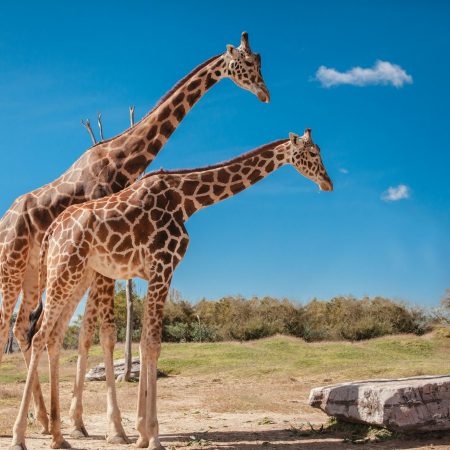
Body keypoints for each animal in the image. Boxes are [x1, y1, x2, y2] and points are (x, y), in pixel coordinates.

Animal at [0, 31, 268, 442]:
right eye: (248, 64)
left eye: (260, 62)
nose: (264, 93)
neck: (120, 157)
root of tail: (5, 219)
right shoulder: (104, 258)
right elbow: (107, 334)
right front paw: (117, 429)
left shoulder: (100, 262)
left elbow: (87, 333)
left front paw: (80, 423)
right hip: (12, 265)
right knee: (7, 328)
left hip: (35, 274)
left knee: (23, 329)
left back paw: (43, 421)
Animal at [11, 128, 334, 448]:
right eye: (313, 153)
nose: (328, 183)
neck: (186, 200)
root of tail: (52, 230)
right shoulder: (163, 266)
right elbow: (152, 345)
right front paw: (152, 436)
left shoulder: (152, 272)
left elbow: (145, 343)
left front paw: (142, 434)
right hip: (64, 272)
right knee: (38, 336)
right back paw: (19, 436)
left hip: (75, 275)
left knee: (51, 336)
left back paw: (58, 436)